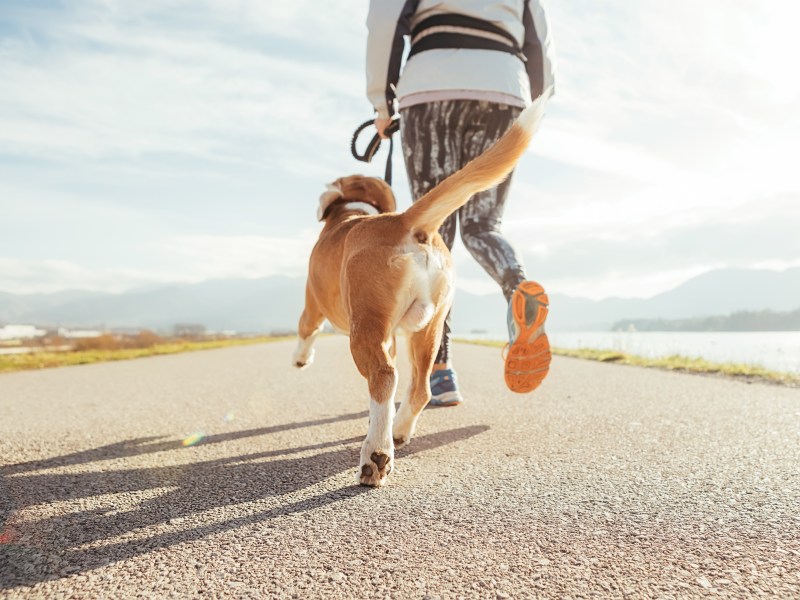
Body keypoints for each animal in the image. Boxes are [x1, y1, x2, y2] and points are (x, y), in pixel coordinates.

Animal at [294, 95, 552, 488]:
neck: (349, 215)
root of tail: (405, 221)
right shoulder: (393, 335)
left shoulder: (312, 300)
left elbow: (306, 329)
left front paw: (301, 358)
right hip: (428, 329)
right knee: (419, 388)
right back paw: (399, 430)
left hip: (365, 326)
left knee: (384, 377)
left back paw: (376, 454)